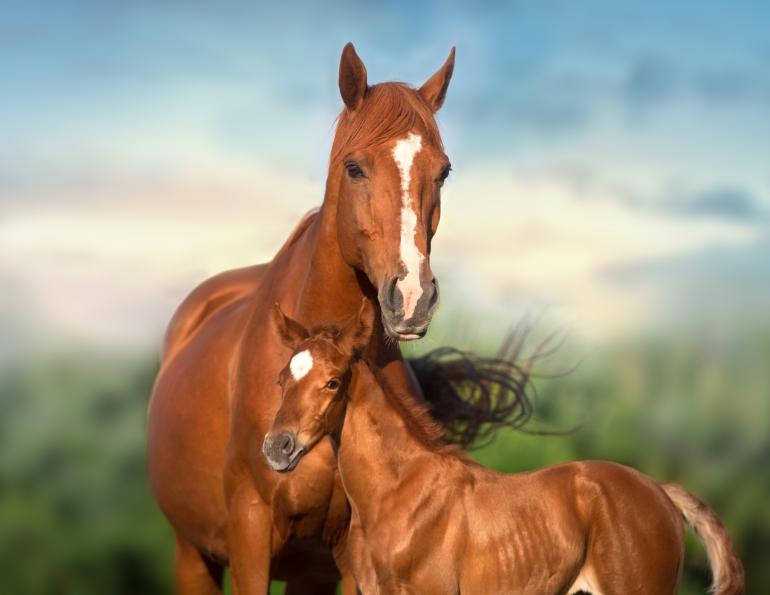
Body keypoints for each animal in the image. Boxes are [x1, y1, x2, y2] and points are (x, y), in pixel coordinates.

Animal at [147, 43, 534, 595]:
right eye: (354, 168)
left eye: (443, 171)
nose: (411, 296)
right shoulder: (249, 533)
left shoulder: (351, 556)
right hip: (193, 555)